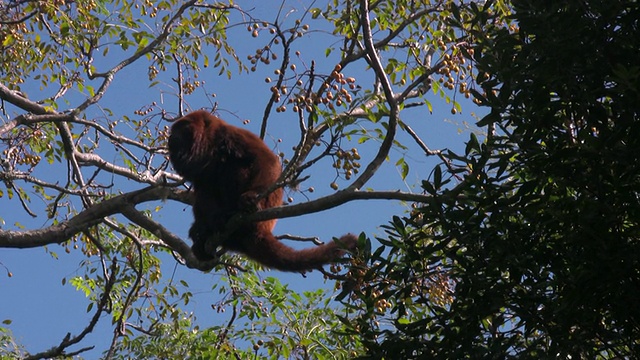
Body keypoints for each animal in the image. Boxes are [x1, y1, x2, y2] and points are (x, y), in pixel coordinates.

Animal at [166, 111, 356, 272]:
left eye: (183, 127)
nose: (171, 136)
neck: (210, 145)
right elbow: (201, 187)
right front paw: (200, 229)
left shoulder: (232, 135)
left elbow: (265, 160)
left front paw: (251, 197)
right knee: (206, 186)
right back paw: (208, 228)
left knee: (233, 166)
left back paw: (229, 214)